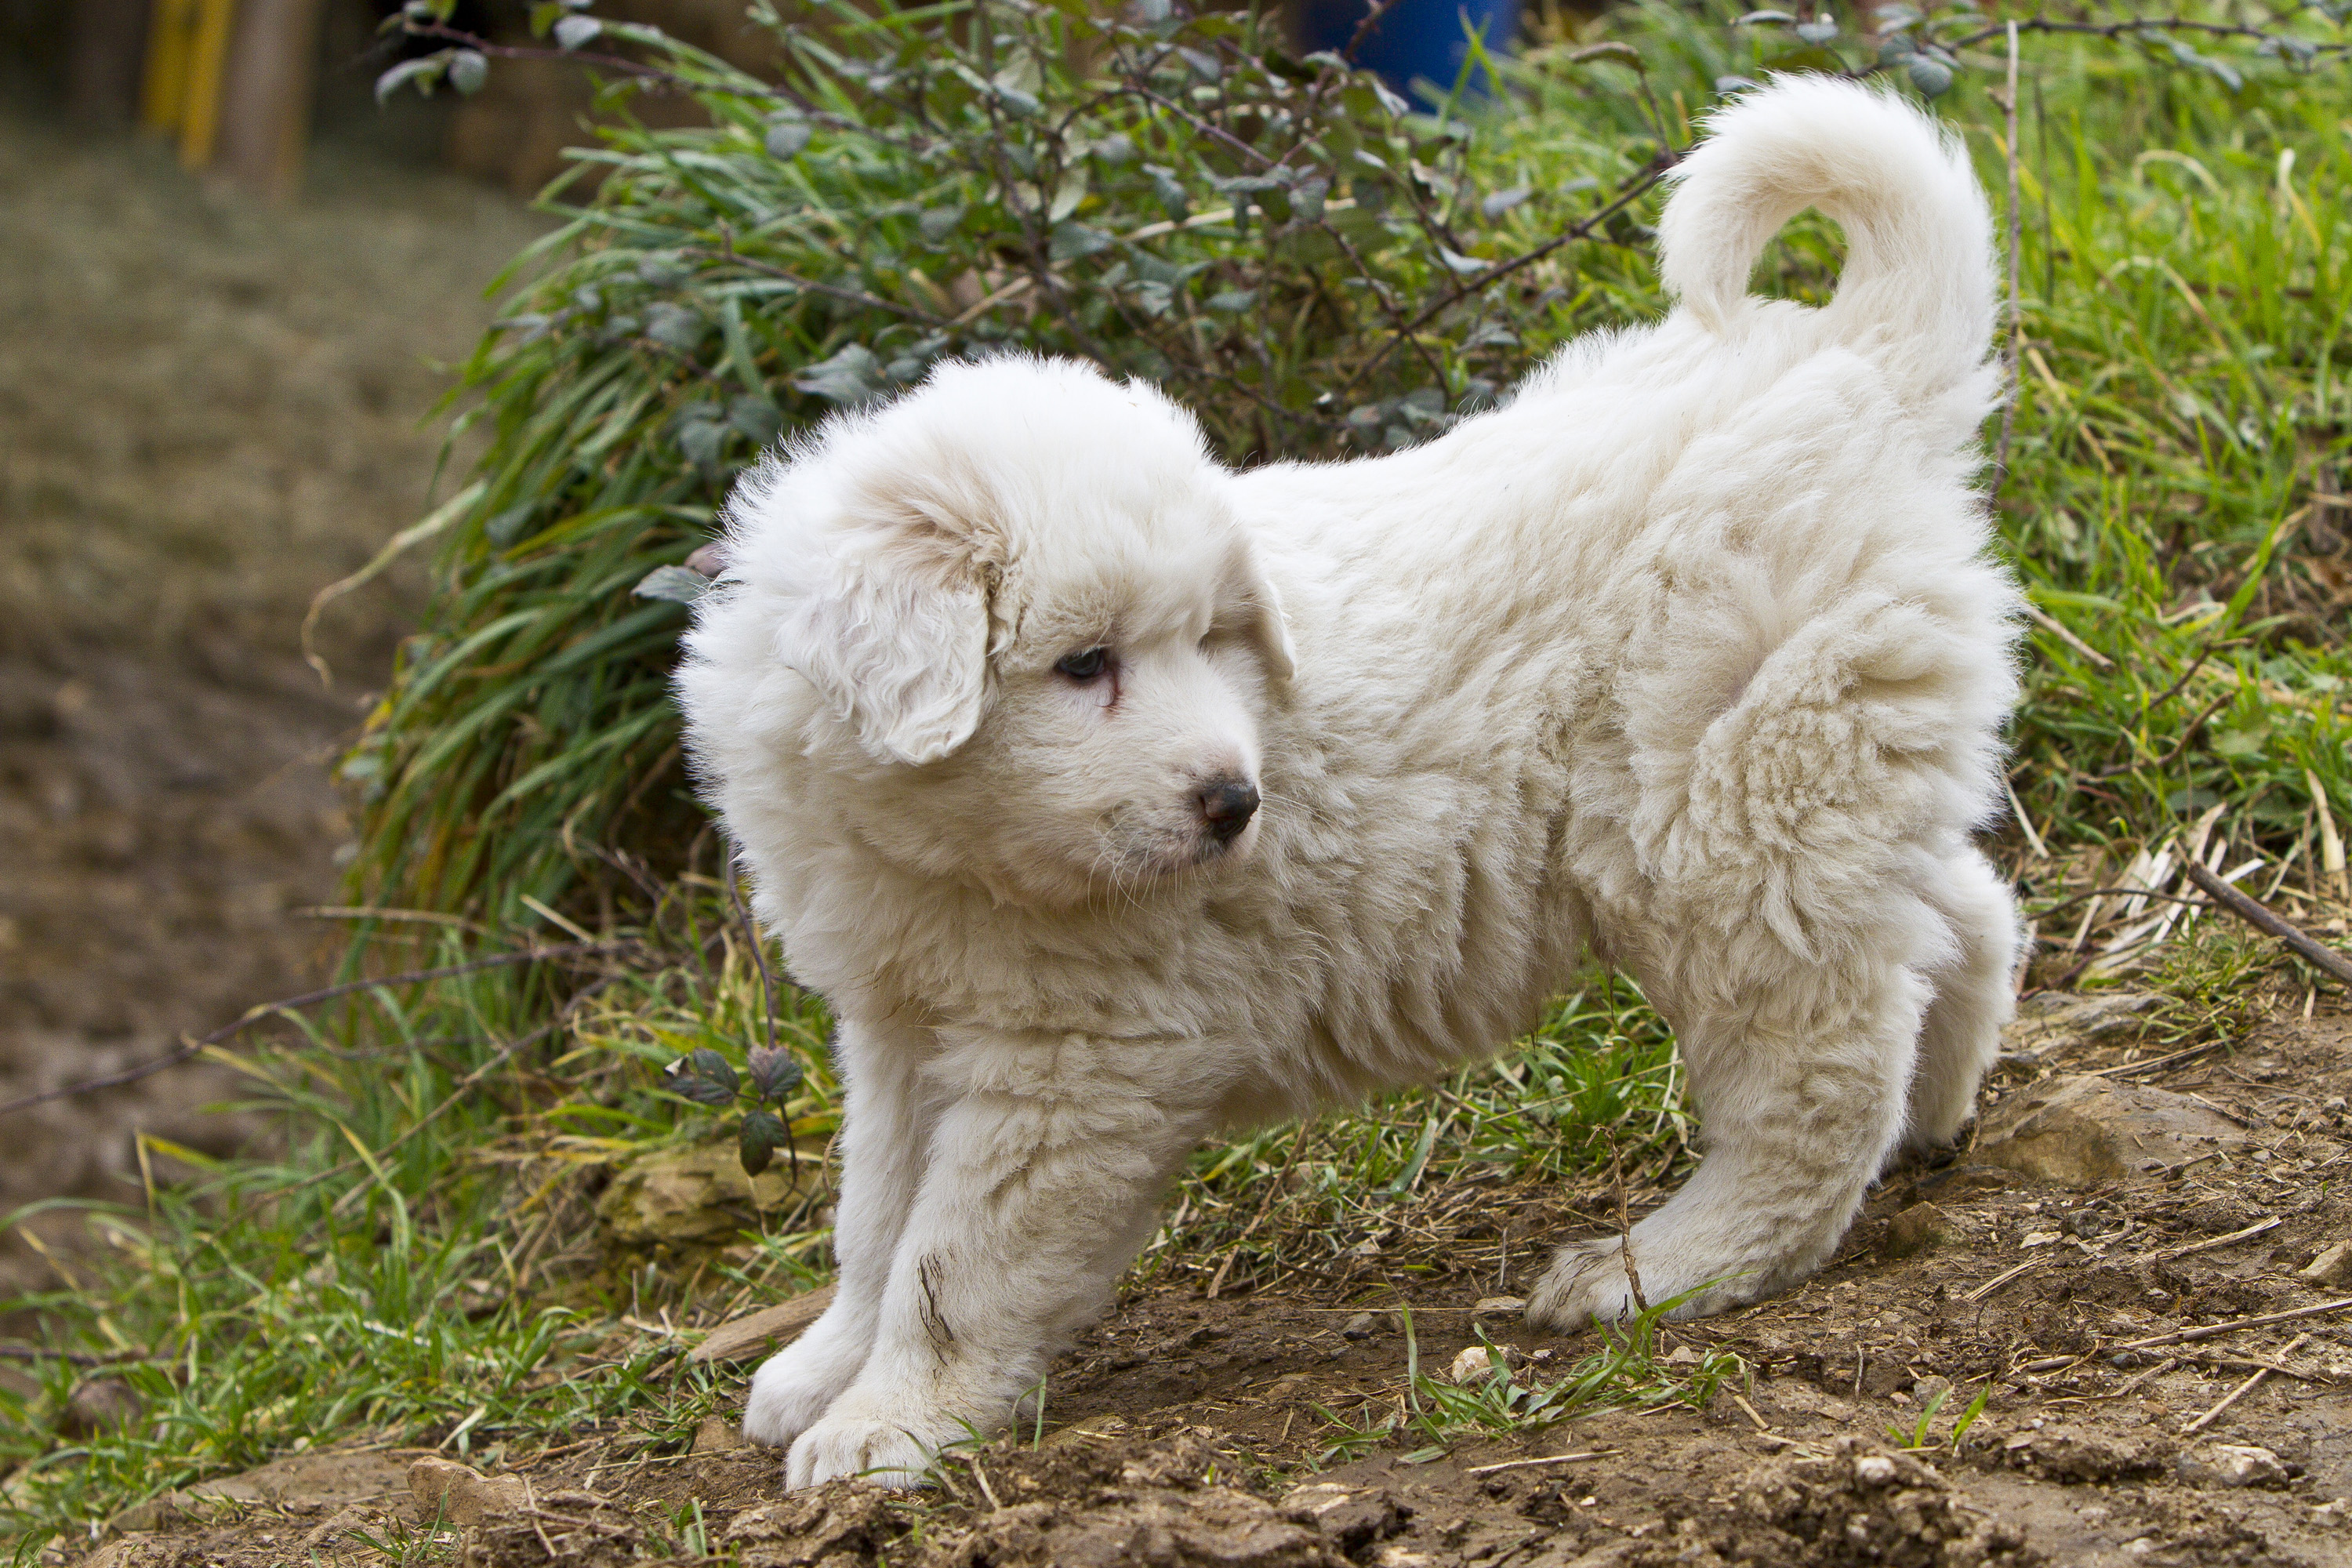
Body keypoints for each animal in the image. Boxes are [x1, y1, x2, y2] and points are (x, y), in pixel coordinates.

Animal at [677, 76, 2023, 1495]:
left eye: (1208, 639)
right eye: (1086, 664)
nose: (1235, 803)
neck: (951, 851)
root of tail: (1856, 367)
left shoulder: (1072, 1069)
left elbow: (953, 1260)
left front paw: (888, 1426)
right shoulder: (901, 1024)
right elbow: (874, 1216)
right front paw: (824, 1369)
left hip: (1716, 823)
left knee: (1816, 1076)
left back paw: (1660, 1265)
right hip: (1820, 775)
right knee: (1956, 923)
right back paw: (1936, 1116)